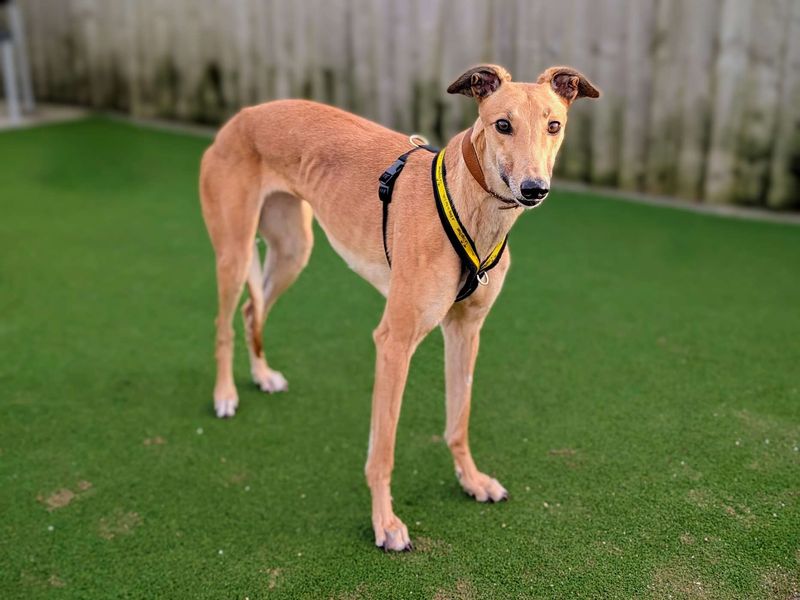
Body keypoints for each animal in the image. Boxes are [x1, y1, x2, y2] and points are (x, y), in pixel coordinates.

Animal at [200, 64, 600, 548]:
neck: (471, 205)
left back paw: (261, 375)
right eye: (502, 125)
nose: (534, 189)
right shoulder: (393, 342)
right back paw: (225, 394)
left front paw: (471, 481)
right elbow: (383, 451)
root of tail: (241, 116)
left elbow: (458, 419)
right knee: (223, 322)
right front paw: (385, 523)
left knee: (250, 311)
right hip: (235, 252)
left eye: (554, 125)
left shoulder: (466, 331)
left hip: (293, 249)